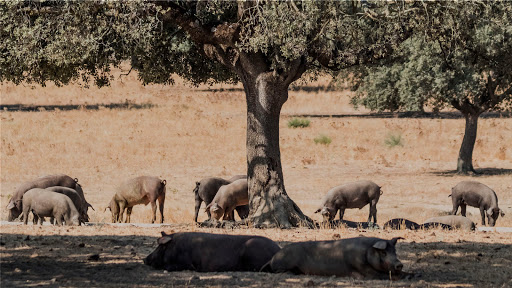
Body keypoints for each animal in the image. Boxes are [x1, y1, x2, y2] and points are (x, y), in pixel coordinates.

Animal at [262, 236, 406, 280]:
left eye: (394, 251)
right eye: (384, 253)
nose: (399, 264)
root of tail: (272, 258)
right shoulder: (362, 268)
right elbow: (381, 275)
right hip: (283, 264)